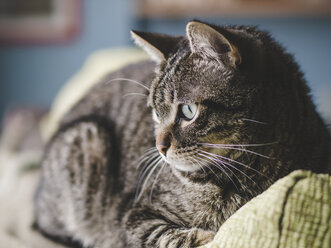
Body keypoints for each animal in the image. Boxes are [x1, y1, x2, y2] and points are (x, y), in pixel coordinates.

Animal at [34, 20, 331, 247]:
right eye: (156, 112)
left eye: (188, 111)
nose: (159, 147)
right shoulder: (134, 215)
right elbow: (167, 236)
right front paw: (205, 237)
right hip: (88, 138)